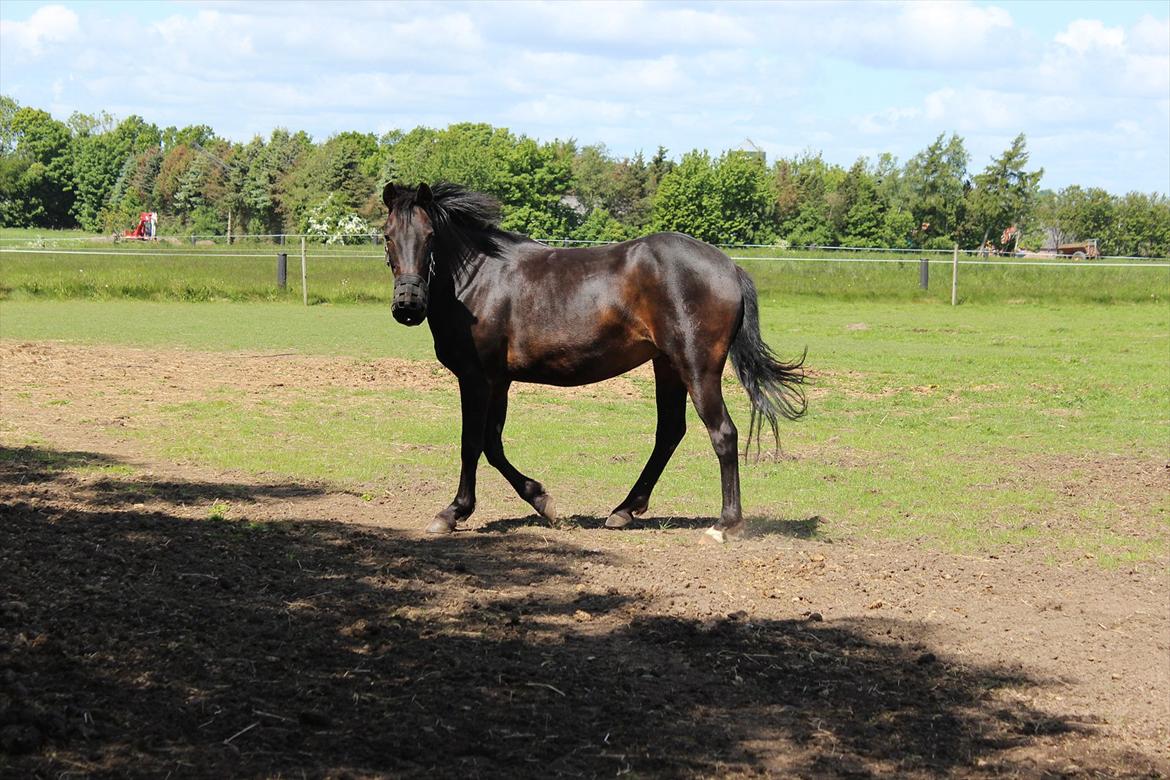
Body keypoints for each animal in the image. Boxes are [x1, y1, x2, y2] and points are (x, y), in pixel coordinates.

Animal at [383, 181, 804, 542]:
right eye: (388, 236)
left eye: (430, 236)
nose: (408, 304)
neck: (480, 279)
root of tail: (730, 267)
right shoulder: (498, 381)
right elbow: (492, 443)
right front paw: (543, 501)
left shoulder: (475, 378)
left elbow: (471, 443)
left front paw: (453, 512)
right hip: (667, 366)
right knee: (670, 432)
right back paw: (625, 510)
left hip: (697, 368)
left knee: (723, 433)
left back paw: (725, 525)